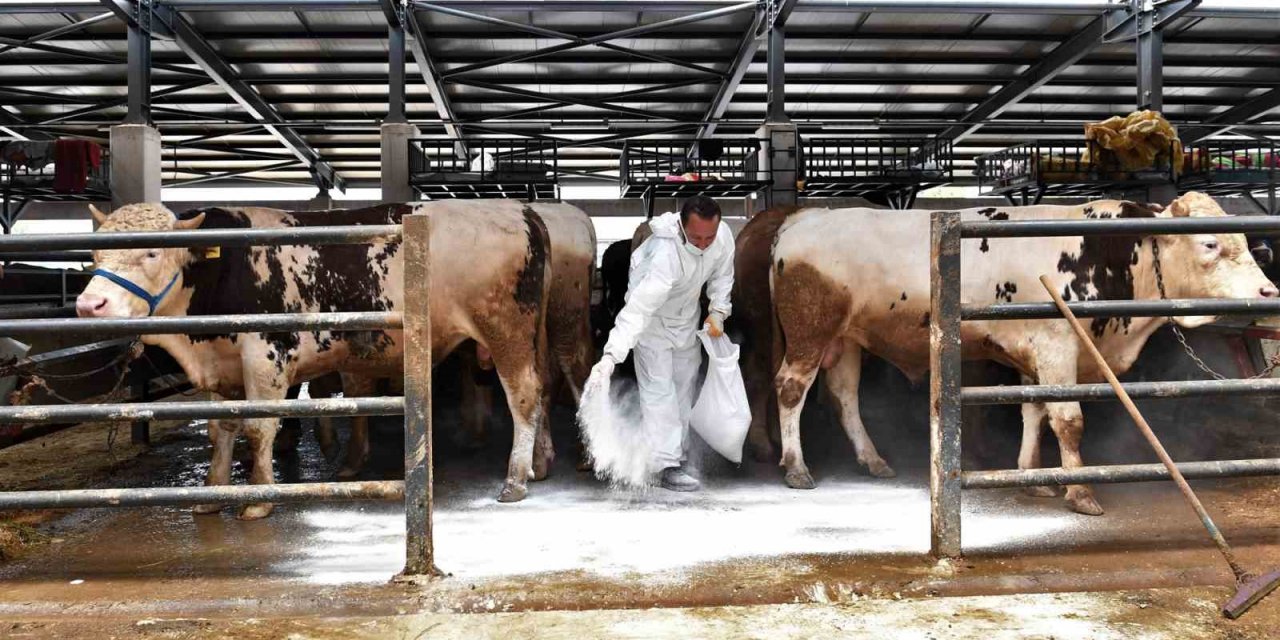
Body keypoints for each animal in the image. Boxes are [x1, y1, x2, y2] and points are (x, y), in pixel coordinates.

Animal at [74, 202, 555, 517]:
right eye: (95, 252)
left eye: (153, 251)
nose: (90, 305)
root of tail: (521, 212)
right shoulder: (222, 366)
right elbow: (220, 429)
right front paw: (212, 494)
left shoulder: (266, 357)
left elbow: (259, 428)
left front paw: (258, 500)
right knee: (541, 391)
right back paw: (540, 463)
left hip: (505, 329)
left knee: (524, 395)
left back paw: (514, 480)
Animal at [757, 190, 1269, 514]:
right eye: (1209, 242)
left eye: (1246, 241)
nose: (1268, 291)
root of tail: (804, 217)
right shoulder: (1058, 345)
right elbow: (1068, 421)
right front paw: (1080, 493)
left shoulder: (1035, 355)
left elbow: (1034, 412)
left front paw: (1032, 478)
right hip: (810, 331)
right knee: (790, 389)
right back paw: (797, 467)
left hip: (845, 339)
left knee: (845, 396)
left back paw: (874, 459)